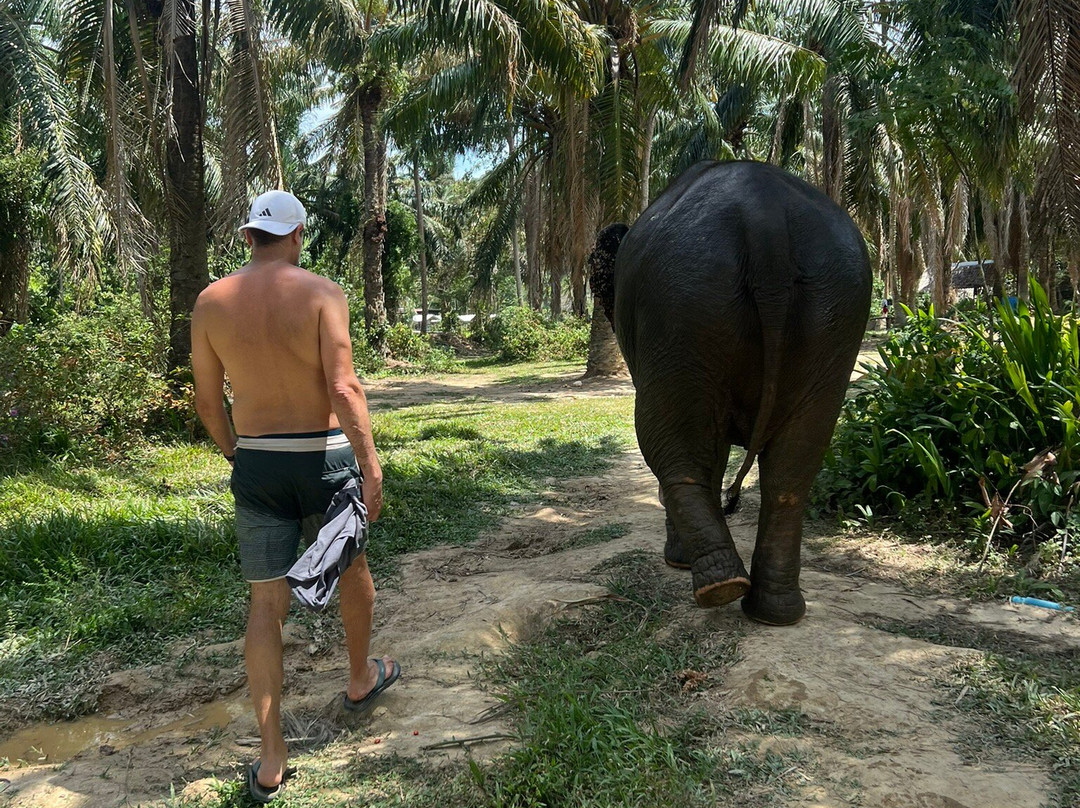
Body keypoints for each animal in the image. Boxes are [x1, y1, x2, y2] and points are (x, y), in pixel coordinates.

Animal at [590, 160, 871, 625]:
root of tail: (764, 217)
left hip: (683, 305)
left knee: (670, 446)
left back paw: (719, 589)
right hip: (835, 307)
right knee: (794, 465)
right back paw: (773, 611)